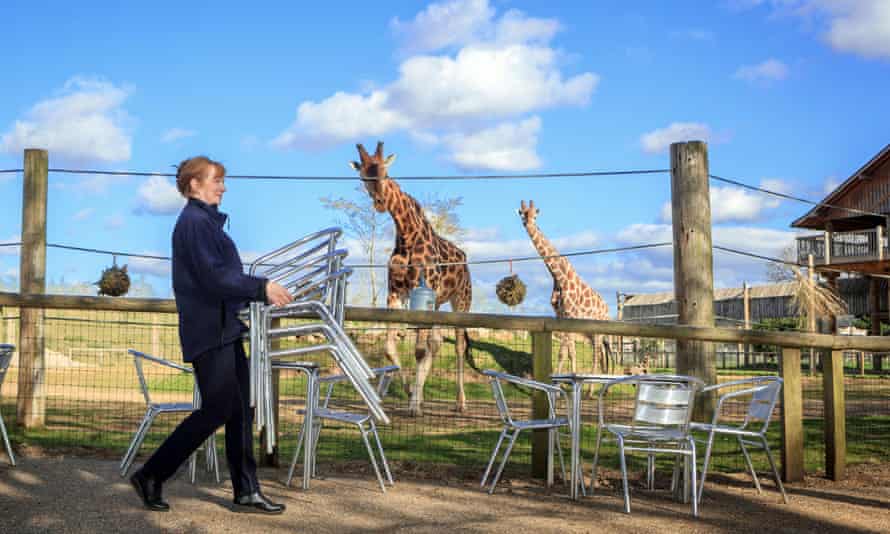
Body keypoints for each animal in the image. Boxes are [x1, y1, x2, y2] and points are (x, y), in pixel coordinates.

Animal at [348, 142, 476, 418]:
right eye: (363, 177)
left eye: (385, 173)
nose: (380, 203)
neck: (407, 236)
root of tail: (464, 259)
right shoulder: (395, 293)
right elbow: (390, 349)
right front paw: (410, 393)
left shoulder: (420, 292)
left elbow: (418, 350)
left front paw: (415, 405)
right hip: (437, 303)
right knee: (436, 343)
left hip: (462, 301)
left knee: (459, 346)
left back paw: (460, 402)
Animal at [516, 203, 612, 374]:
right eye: (523, 214)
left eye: (535, 216)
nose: (529, 224)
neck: (559, 277)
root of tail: (607, 310)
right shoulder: (560, 315)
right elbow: (568, 352)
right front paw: (563, 375)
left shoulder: (570, 315)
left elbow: (565, 352)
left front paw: (565, 378)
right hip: (589, 332)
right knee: (600, 355)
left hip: (597, 329)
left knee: (597, 355)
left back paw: (592, 381)